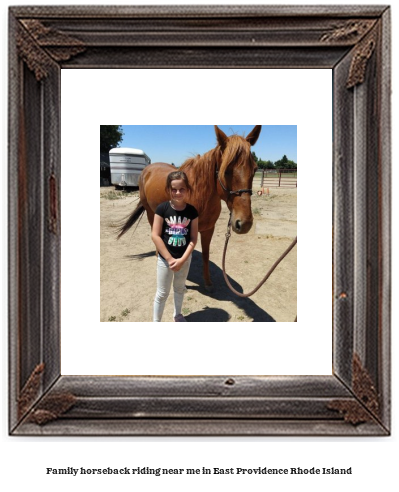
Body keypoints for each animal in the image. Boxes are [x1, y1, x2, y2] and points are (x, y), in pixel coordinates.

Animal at [118, 125, 262, 288]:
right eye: (226, 170)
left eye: (255, 169)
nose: (244, 223)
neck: (200, 195)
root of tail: (147, 169)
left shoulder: (208, 229)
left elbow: (205, 254)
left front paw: (207, 282)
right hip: (151, 213)